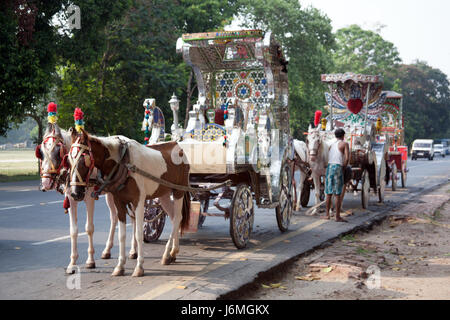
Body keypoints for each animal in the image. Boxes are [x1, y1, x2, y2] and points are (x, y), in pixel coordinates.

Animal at [36, 124, 136, 274]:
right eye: (41, 153)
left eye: (58, 151)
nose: (46, 183)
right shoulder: (71, 199)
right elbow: (73, 231)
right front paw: (72, 263)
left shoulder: (89, 198)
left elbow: (89, 228)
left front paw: (90, 261)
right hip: (111, 194)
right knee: (114, 217)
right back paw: (107, 250)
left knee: (133, 218)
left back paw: (133, 250)